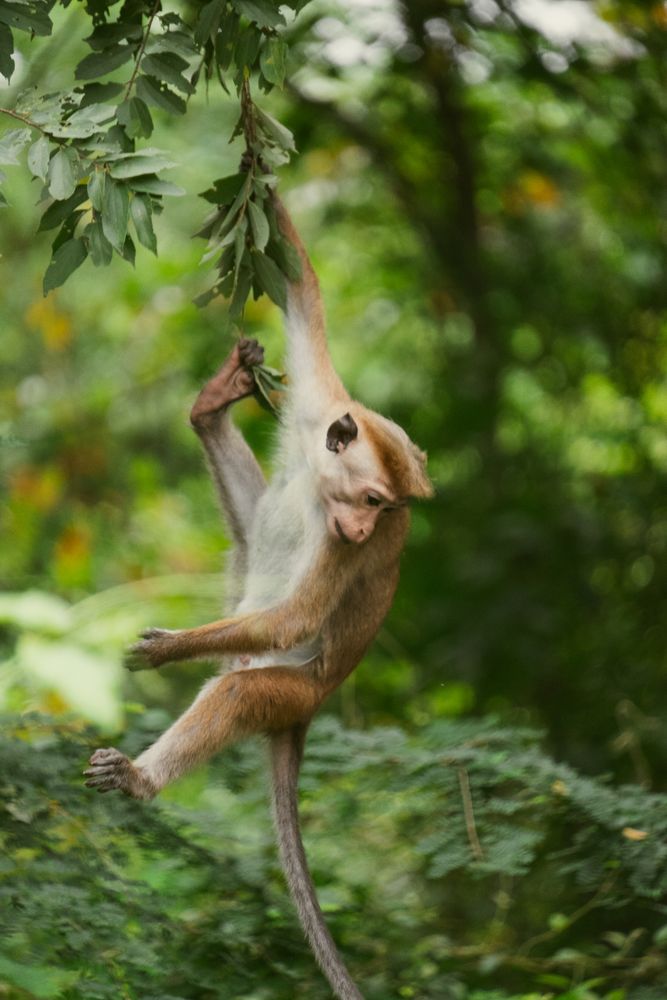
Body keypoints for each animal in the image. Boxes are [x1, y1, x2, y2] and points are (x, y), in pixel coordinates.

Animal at [84, 195, 432, 1000]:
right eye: (374, 498)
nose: (365, 524)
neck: (323, 480)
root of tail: (313, 707)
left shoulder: (344, 548)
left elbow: (300, 616)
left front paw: (171, 649)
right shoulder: (320, 401)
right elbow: (303, 290)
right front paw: (255, 172)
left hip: (288, 688)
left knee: (240, 693)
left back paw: (143, 777)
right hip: (243, 588)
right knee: (250, 531)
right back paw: (210, 409)